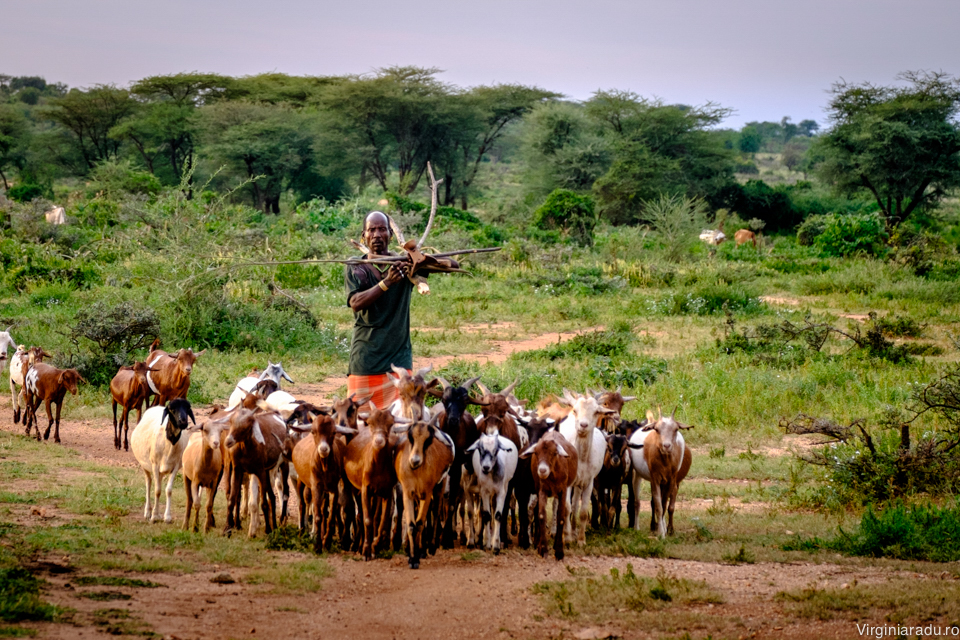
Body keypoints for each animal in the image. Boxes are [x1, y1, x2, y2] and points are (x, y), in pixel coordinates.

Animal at [398, 416, 458, 568]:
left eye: (428, 439)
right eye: (410, 436)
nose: (414, 461)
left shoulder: (428, 492)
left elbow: (420, 522)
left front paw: (417, 557)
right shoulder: (408, 493)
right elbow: (412, 524)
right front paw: (412, 556)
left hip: (440, 486)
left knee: (435, 511)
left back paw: (431, 547)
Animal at [516, 430, 576, 560]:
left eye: (554, 453)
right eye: (536, 453)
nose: (542, 470)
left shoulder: (563, 490)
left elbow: (561, 517)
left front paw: (559, 551)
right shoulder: (541, 490)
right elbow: (541, 515)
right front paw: (542, 549)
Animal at [556, 390, 616, 544]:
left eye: (596, 412)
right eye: (575, 410)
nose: (583, 425)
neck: (581, 458)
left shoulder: (589, 481)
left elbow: (582, 511)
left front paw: (581, 540)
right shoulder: (567, 482)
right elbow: (566, 508)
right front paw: (567, 538)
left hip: (579, 483)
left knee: (576, 504)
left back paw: (574, 531)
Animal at [632, 408, 688, 536]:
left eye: (676, 429)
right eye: (657, 429)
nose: (666, 446)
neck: (665, 462)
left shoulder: (670, 481)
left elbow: (663, 505)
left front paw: (662, 529)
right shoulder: (655, 479)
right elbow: (658, 506)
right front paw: (661, 533)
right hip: (637, 474)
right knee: (637, 502)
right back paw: (636, 528)